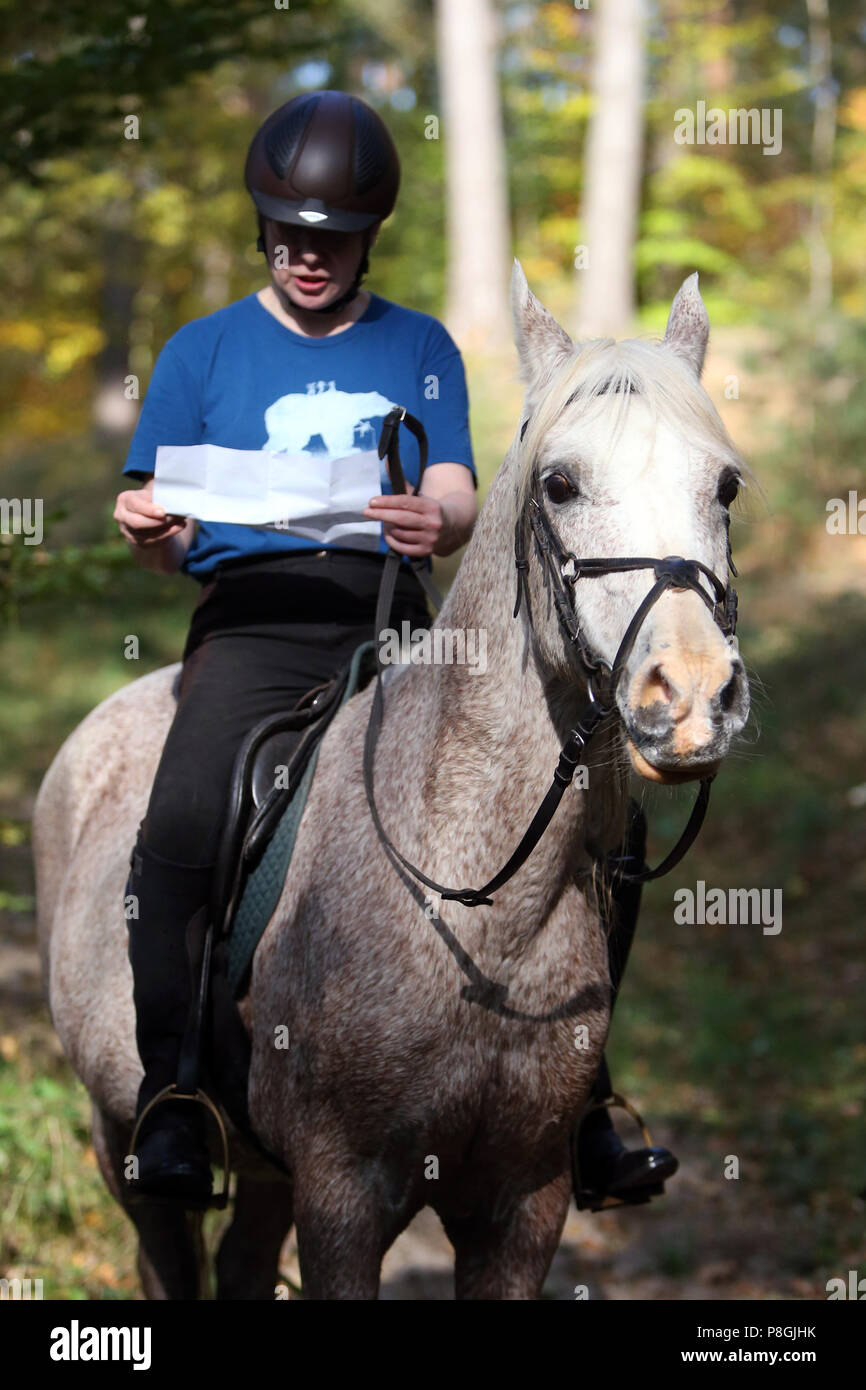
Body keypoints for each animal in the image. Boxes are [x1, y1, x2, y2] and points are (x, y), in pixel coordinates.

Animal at [32, 262, 750, 1301]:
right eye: (561, 483)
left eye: (724, 485)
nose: (692, 695)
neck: (474, 899)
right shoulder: (344, 1195)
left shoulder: (523, 1204)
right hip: (123, 1143)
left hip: (267, 1175)